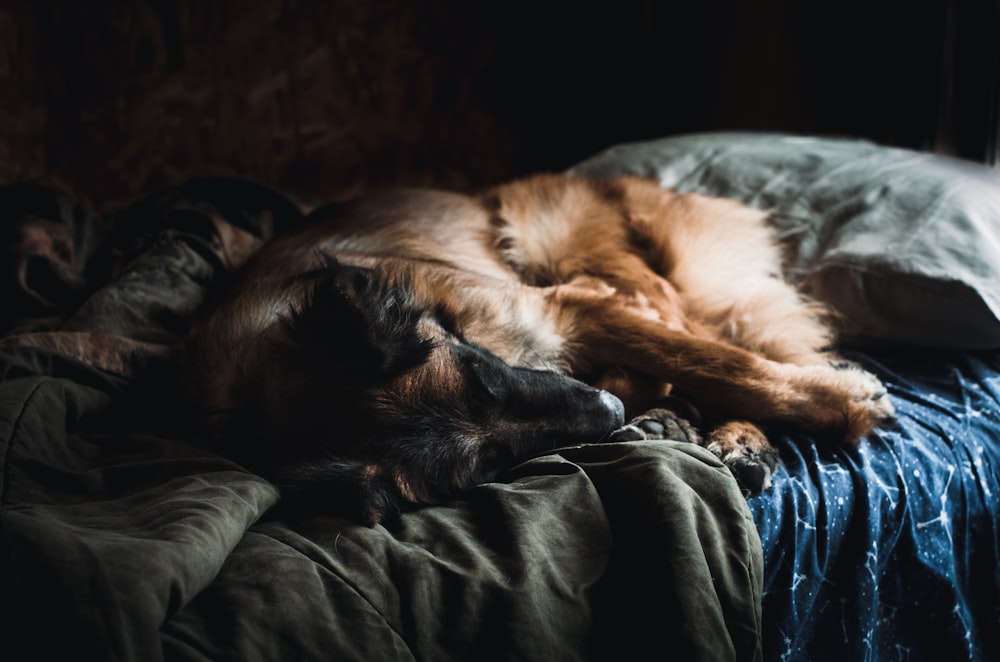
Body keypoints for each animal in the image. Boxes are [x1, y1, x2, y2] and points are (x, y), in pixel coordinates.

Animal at [180, 174, 900, 528]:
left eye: (482, 373)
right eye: (491, 461)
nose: (606, 414)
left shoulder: (566, 308)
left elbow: (719, 363)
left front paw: (839, 400)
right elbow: (685, 366)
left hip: (563, 244)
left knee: (709, 337)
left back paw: (734, 435)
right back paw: (675, 424)